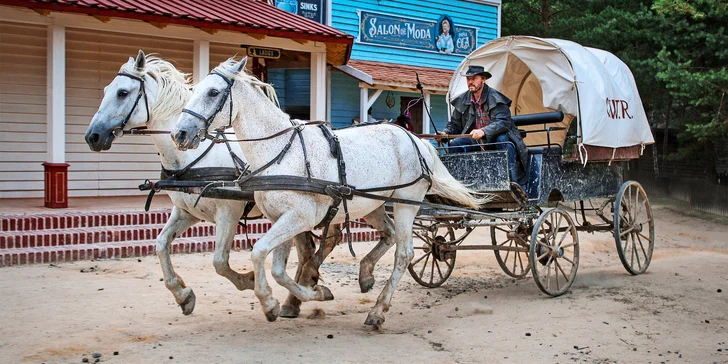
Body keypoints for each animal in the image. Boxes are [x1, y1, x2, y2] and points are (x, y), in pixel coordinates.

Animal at [84, 51, 340, 318]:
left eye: (122, 92)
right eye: (106, 90)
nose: (93, 136)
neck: (192, 157)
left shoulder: (229, 211)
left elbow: (219, 261)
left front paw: (248, 281)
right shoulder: (185, 211)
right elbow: (161, 244)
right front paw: (182, 294)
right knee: (312, 247)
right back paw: (299, 295)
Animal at [171, 58, 490, 326]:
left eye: (213, 92)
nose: (180, 134)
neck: (279, 152)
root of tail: (415, 139)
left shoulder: (298, 217)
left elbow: (260, 252)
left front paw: (272, 302)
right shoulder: (281, 218)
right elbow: (277, 268)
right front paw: (308, 294)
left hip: (406, 204)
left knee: (404, 253)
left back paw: (377, 311)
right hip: (374, 205)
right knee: (387, 235)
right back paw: (365, 275)